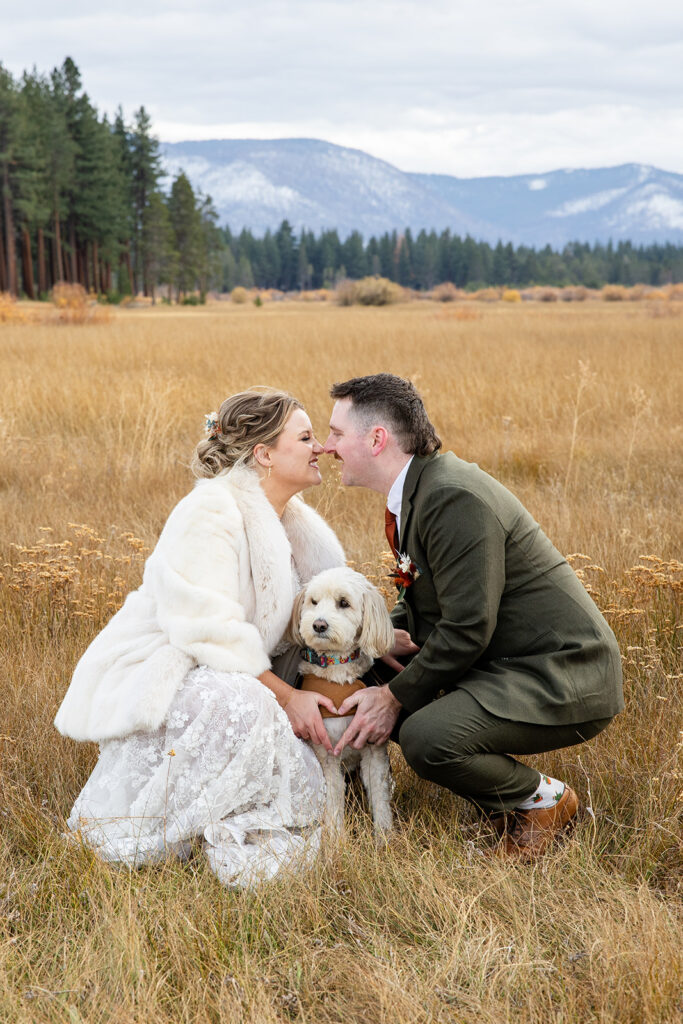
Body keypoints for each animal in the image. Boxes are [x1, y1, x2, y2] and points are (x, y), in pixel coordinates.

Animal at [288, 565, 395, 835]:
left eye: (343, 603)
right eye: (313, 602)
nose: (319, 624)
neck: (336, 667)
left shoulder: (373, 748)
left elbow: (380, 797)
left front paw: (385, 837)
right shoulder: (327, 754)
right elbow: (334, 800)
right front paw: (336, 838)